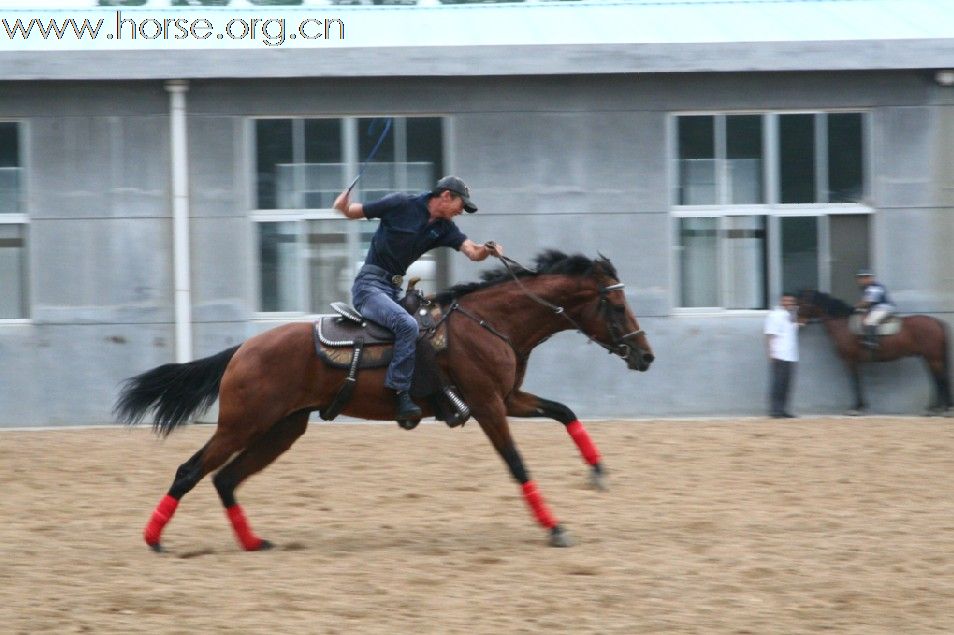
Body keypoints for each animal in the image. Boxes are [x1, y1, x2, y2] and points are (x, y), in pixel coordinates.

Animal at [115, 251, 656, 556]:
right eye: (616, 304)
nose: (646, 355)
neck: (489, 324)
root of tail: (242, 350)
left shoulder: (508, 398)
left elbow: (564, 411)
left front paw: (597, 471)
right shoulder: (487, 405)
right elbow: (517, 463)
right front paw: (555, 527)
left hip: (283, 429)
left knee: (226, 479)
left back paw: (251, 542)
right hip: (242, 425)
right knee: (191, 470)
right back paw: (153, 538)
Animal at [796, 290, 944, 418]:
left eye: (802, 304)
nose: (798, 323)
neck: (843, 324)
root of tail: (936, 322)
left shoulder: (850, 361)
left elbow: (855, 382)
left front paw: (856, 408)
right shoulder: (855, 361)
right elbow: (858, 381)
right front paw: (861, 406)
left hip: (932, 357)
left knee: (938, 378)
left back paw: (936, 409)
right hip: (929, 357)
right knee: (934, 378)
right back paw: (935, 407)